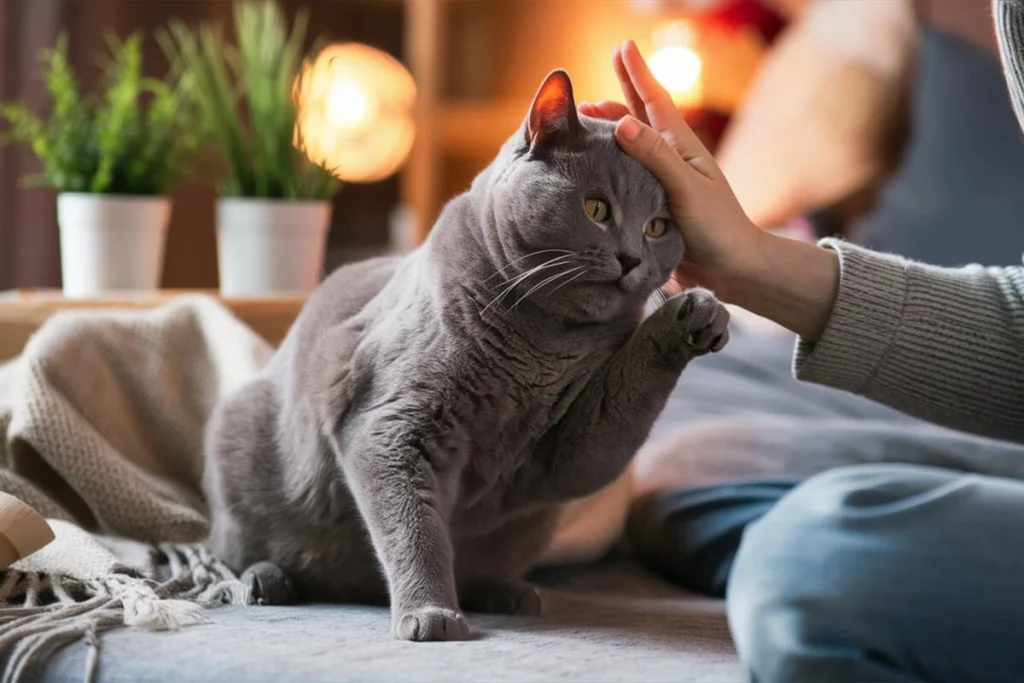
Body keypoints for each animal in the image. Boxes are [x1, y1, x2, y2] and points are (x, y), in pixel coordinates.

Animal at [201, 72, 729, 643]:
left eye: (657, 227)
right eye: (596, 208)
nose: (632, 257)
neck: (541, 346)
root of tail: (353, 590)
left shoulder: (568, 446)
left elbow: (611, 416)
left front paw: (697, 315)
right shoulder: (389, 422)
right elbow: (415, 527)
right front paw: (431, 613)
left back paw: (508, 593)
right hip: (236, 440)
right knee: (232, 551)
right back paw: (264, 582)